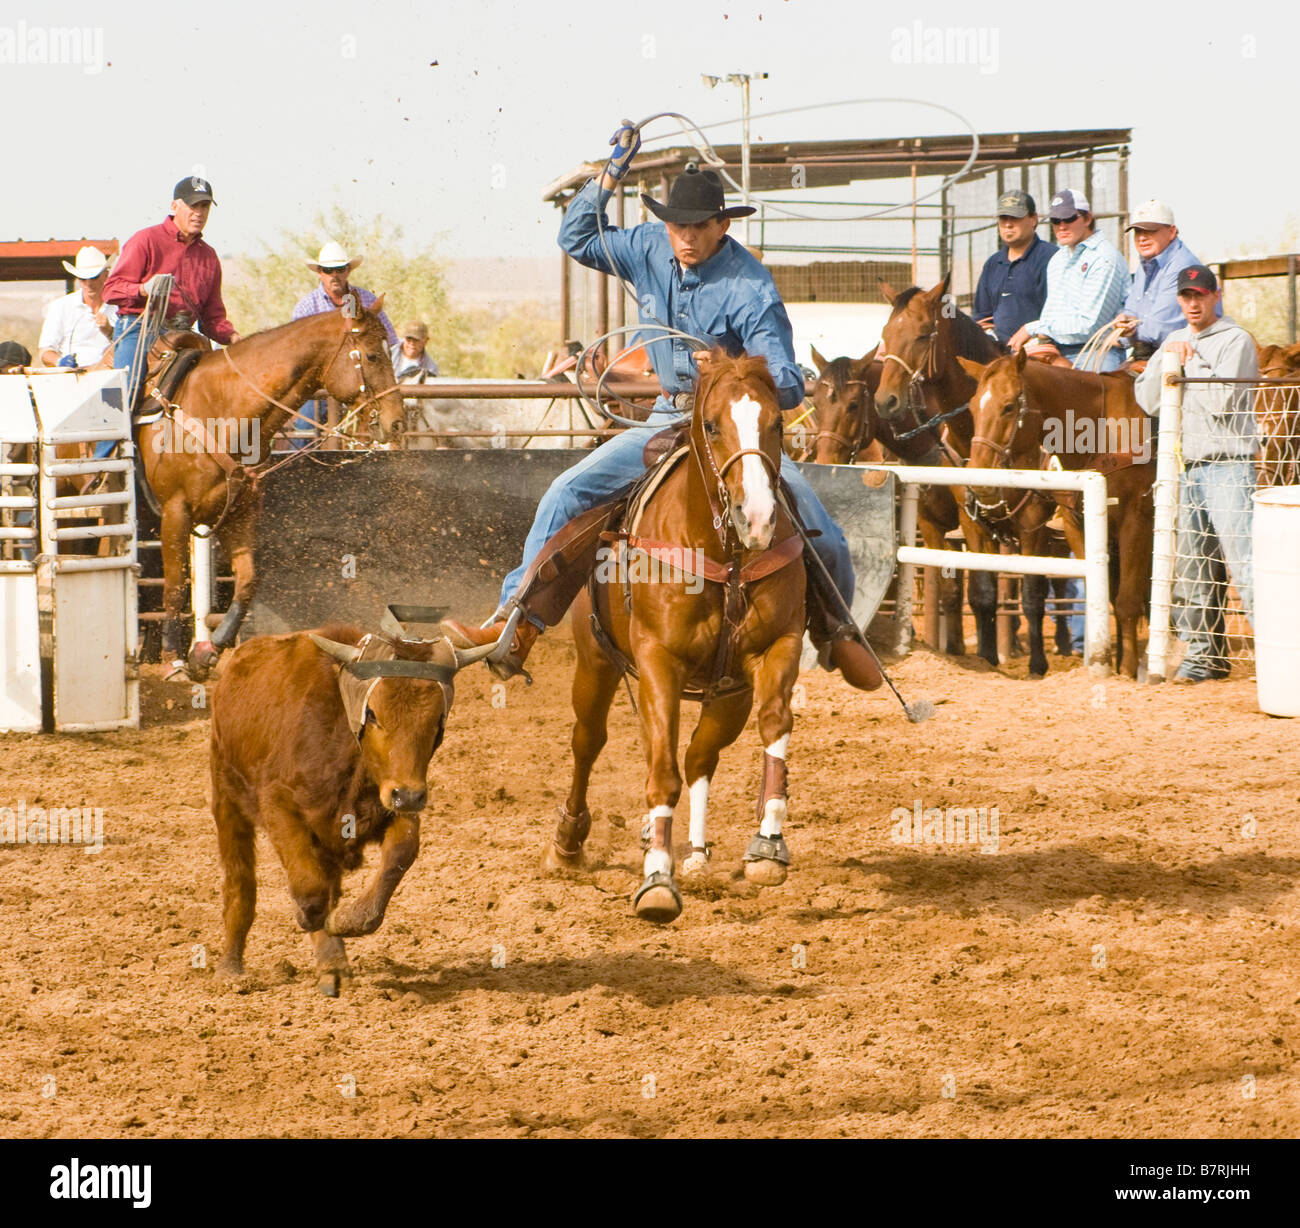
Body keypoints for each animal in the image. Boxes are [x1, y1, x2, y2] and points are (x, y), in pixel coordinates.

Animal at [209, 618, 494, 995]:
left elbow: (400, 854)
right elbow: (309, 886)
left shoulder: (392, 803)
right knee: (240, 883)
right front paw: (309, 916)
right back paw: (230, 967)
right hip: (226, 796)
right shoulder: (278, 804)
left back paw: (332, 963)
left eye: (437, 720)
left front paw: (346, 920)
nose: (410, 795)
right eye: (372, 714)